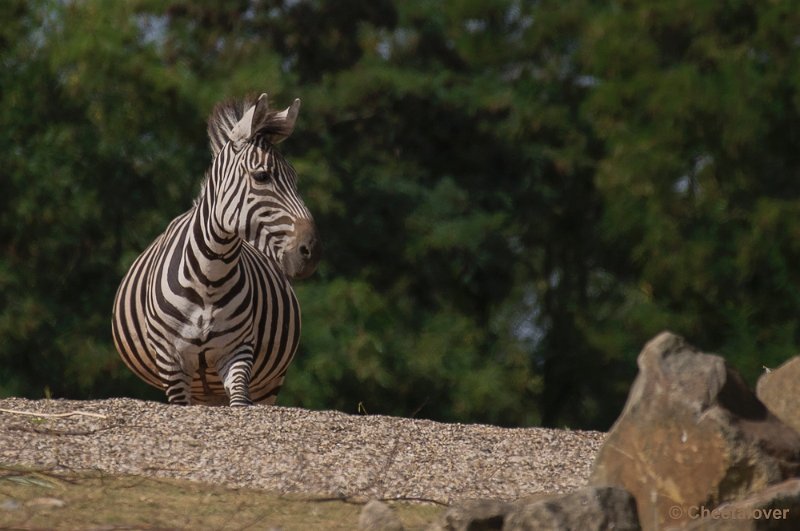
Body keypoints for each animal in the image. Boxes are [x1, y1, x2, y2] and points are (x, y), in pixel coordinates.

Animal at [110, 92, 322, 408]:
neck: (210, 276)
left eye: (295, 179)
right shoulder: (172, 363)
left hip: (268, 384)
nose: (311, 251)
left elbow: (240, 402)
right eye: (262, 177)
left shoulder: (238, 354)